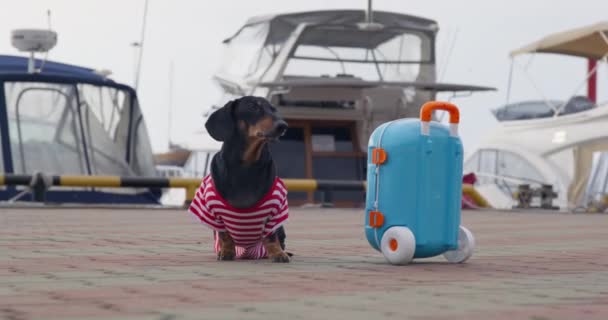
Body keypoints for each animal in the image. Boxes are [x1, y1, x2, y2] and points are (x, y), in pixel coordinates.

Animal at [190, 96, 294, 264]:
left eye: (273, 109)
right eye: (253, 107)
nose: (283, 126)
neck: (246, 166)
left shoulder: (275, 211)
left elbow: (271, 236)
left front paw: (277, 253)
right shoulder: (215, 214)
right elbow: (225, 235)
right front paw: (226, 251)